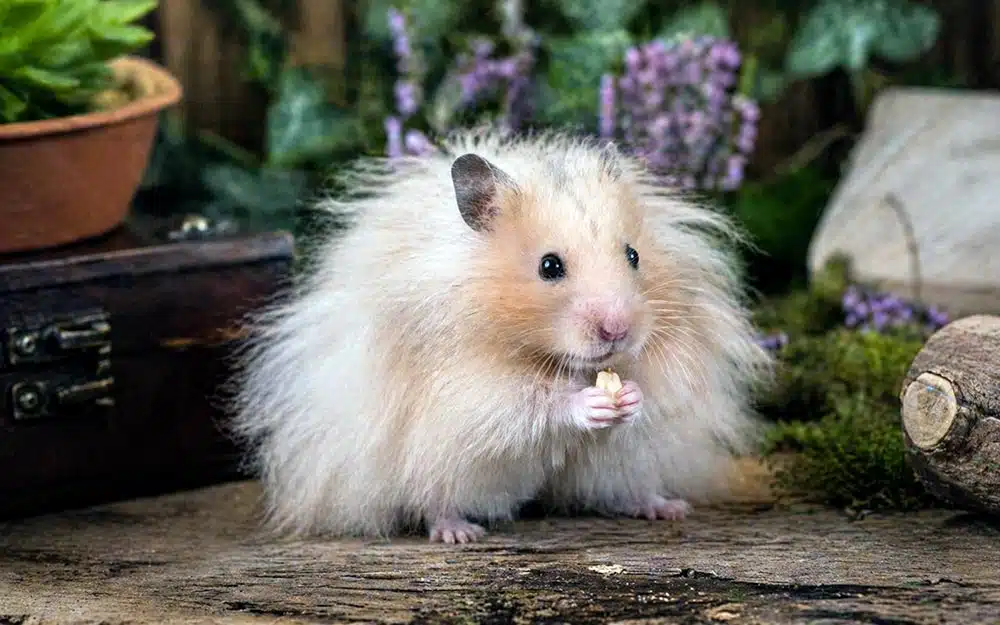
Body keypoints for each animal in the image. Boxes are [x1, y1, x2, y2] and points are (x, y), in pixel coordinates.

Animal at [229, 127, 773, 544]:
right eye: (549, 266)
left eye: (634, 255)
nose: (617, 330)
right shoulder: (470, 388)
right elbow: (527, 402)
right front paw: (590, 403)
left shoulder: (671, 364)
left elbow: (654, 392)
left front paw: (630, 396)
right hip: (429, 462)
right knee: (432, 498)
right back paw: (458, 533)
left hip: (627, 461)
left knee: (616, 488)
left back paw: (665, 506)